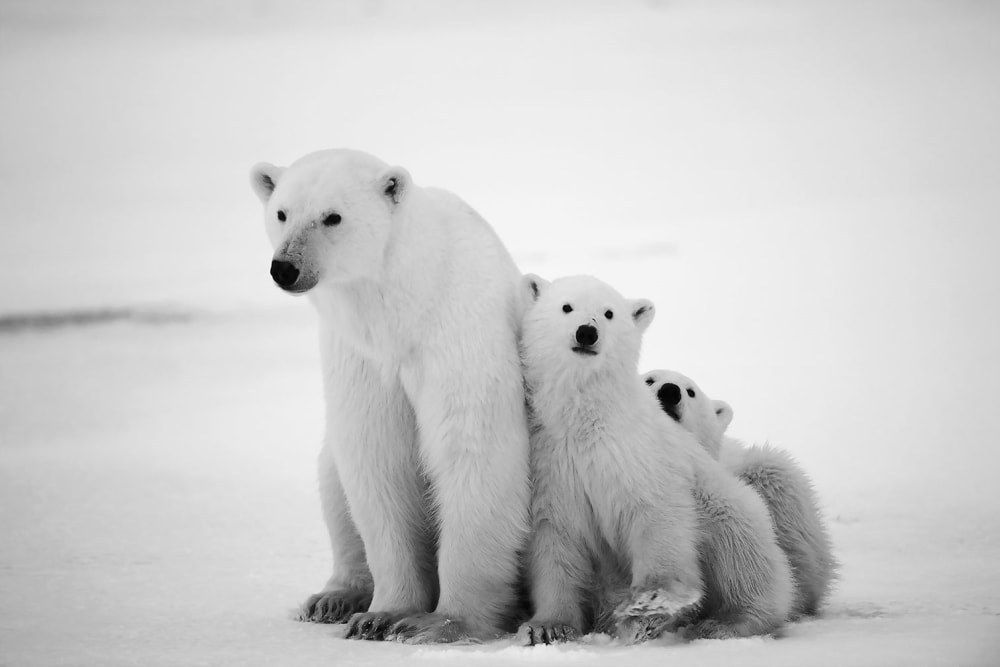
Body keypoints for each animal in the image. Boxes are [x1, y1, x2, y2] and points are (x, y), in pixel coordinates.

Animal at [249, 149, 531, 643]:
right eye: (282, 213)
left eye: (333, 216)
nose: (285, 267)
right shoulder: (360, 356)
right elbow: (377, 458)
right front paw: (381, 615)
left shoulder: (458, 333)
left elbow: (472, 451)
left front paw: (440, 623)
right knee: (332, 480)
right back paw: (334, 597)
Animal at [516, 274, 793, 644]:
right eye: (566, 307)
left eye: (609, 313)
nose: (587, 332)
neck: (586, 419)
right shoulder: (552, 462)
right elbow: (555, 539)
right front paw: (547, 627)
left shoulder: (638, 452)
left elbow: (656, 513)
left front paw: (649, 606)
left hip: (728, 506)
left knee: (741, 553)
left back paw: (727, 622)